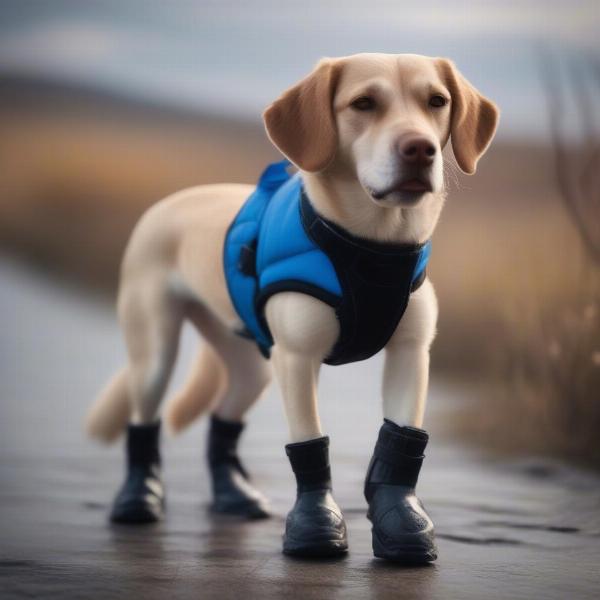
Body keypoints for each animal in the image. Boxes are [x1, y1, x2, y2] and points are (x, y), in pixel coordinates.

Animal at [86, 52, 500, 564]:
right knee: (144, 421)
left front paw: (402, 524)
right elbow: (308, 445)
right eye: (363, 103)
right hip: (156, 353)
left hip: (254, 366)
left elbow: (401, 440)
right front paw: (315, 527)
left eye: (437, 102)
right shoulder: (299, 358)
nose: (420, 149)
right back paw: (138, 498)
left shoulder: (410, 354)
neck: (374, 248)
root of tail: (169, 202)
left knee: (223, 424)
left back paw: (233, 494)